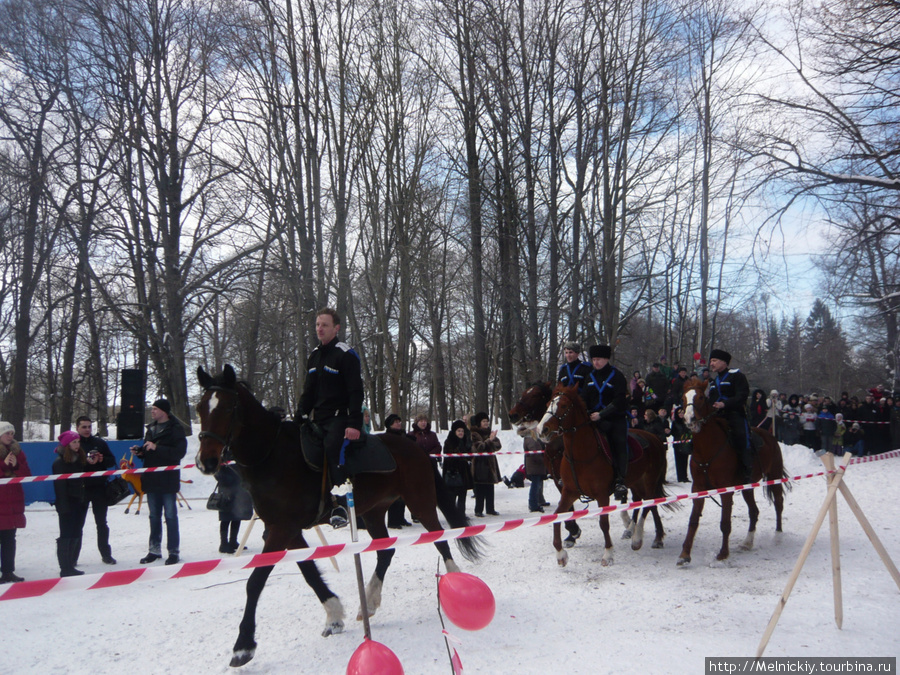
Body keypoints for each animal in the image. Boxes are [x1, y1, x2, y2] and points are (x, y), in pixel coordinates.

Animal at [194, 364, 482, 664]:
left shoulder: (281, 529)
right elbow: (308, 571)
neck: (272, 456)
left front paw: (243, 646)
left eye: (228, 408)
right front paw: (333, 616)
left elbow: (255, 582)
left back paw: (456, 582)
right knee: (386, 551)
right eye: (200, 408)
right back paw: (369, 604)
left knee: (440, 538)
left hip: (420, 502)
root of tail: (415, 448)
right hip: (375, 512)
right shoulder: (284, 529)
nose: (206, 461)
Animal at [536, 382, 668, 568]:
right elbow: (558, 515)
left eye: (563, 406)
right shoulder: (569, 492)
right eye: (548, 403)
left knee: (649, 504)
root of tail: (655, 439)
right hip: (636, 483)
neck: (581, 455)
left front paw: (608, 554)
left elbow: (604, 523)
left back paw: (637, 538)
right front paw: (561, 554)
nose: (542, 429)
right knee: (645, 503)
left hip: (648, 481)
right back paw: (648, 535)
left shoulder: (602, 494)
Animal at [684, 378, 788, 568]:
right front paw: (685, 554)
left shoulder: (726, 490)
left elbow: (725, 523)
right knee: (754, 511)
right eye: (683, 397)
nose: (690, 418)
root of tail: (769, 436)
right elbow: (693, 520)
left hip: (774, 476)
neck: (708, 448)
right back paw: (747, 542)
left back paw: (777, 536)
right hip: (747, 487)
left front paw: (723, 554)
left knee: (778, 503)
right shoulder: (698, 488)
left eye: (701, 397)